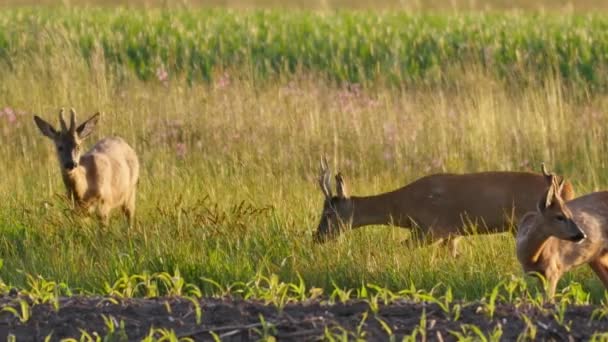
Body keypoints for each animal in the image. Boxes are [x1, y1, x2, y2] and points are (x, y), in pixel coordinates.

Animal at [314, 158, 576, 254]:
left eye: (328, 213)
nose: (317, 237)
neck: (404, 206)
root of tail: (567, 187)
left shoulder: (432, 229)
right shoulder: (452, 234)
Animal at [516, 167, 608, 298]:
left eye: (570, 214)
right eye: (559, 216)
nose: (582, 234)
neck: (531, 257)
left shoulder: (553, 270)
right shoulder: (537, 275)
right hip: (597, 257)